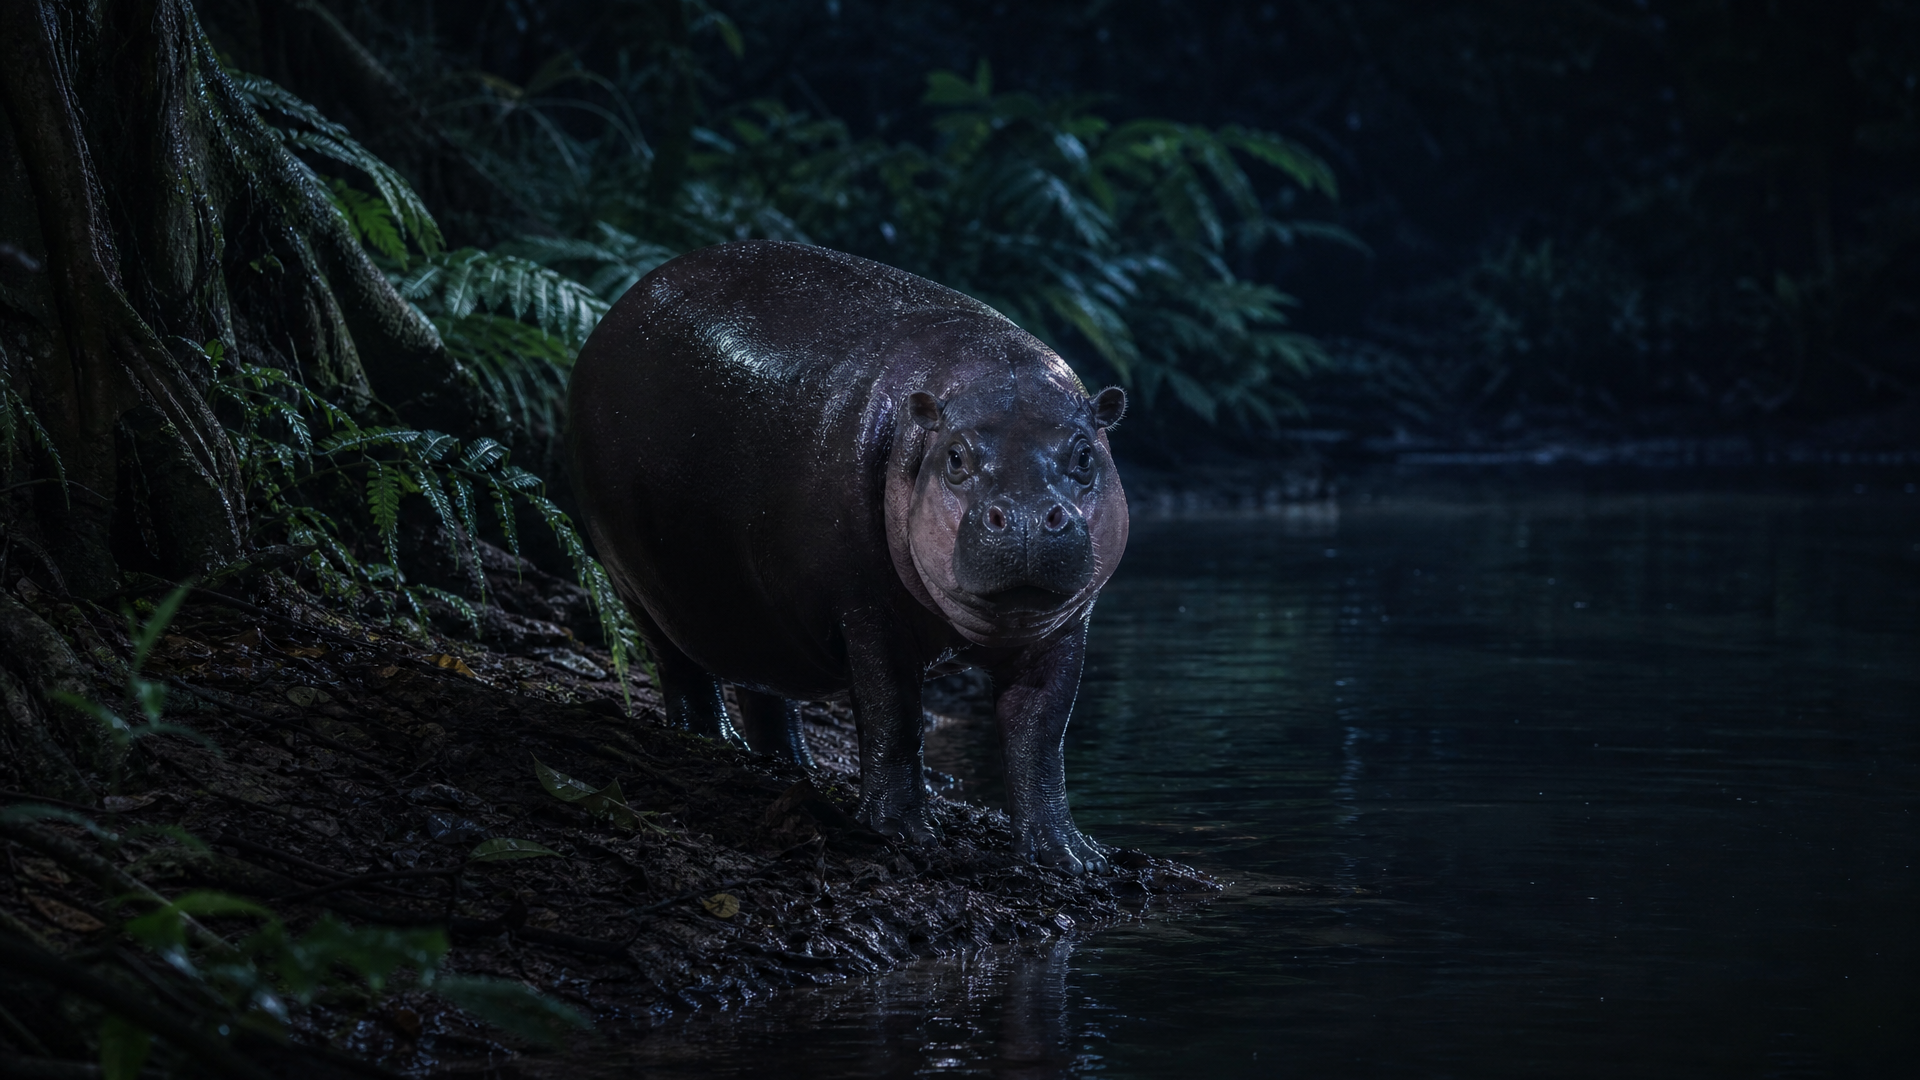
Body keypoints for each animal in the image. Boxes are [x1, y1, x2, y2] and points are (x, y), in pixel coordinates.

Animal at [567, 240, 1128, 874]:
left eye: (1084, 455)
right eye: (955, 457)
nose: (1030, 517)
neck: (991, 378)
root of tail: (615, 310)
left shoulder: (1063, 630)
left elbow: (1041, 733)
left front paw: (1071, 857)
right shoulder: (866, 611)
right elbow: (893, 715)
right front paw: (904, 834)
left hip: (753, 607)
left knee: (764, 679)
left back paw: (792, 764)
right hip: (635, 582)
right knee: (680, 664)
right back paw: (710, 739)